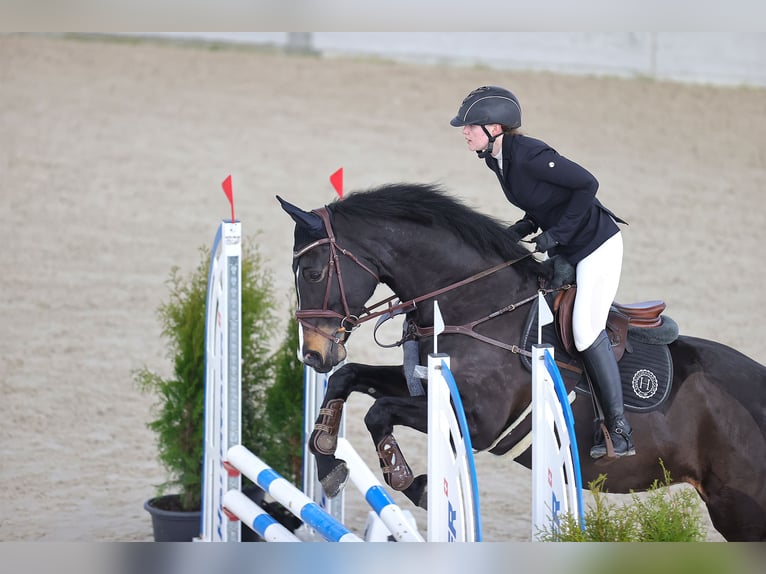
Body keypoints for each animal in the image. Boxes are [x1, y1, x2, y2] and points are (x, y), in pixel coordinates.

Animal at [276, 182, 766, 544]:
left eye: (314, 272)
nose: (314, 353)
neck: (478, 303)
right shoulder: (425, 384)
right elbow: (348, 378)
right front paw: (329, 461)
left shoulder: (481, 423)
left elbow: (379, 411)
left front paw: (411, 480)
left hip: (740, 511)